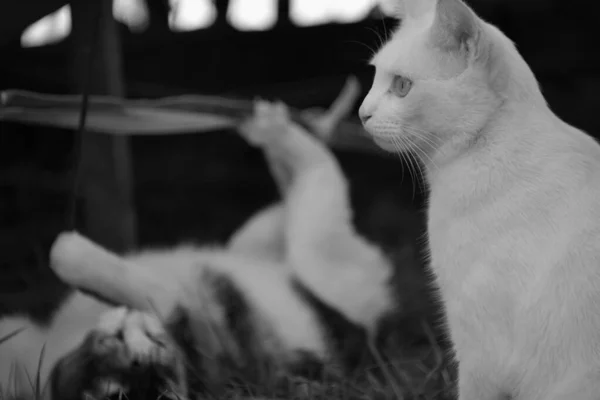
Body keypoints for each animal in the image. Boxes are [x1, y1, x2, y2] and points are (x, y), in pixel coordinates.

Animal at [2, 78, 400, 400]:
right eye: (119, 390)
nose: (148, 354)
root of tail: (373, 327)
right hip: (320, 259)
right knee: (314, 188)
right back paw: (277, 134)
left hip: (283, 250)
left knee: (297, 195)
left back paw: (276, 131)